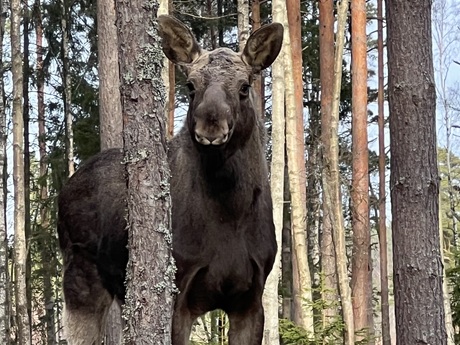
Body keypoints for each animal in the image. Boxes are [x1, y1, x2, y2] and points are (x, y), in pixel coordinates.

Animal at [58, 15, 284, 344]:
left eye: (244, 87)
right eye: (191, 85)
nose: (210, 122)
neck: (230, 213)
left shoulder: (251, 298)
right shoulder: (179, 292)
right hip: (80, 275)